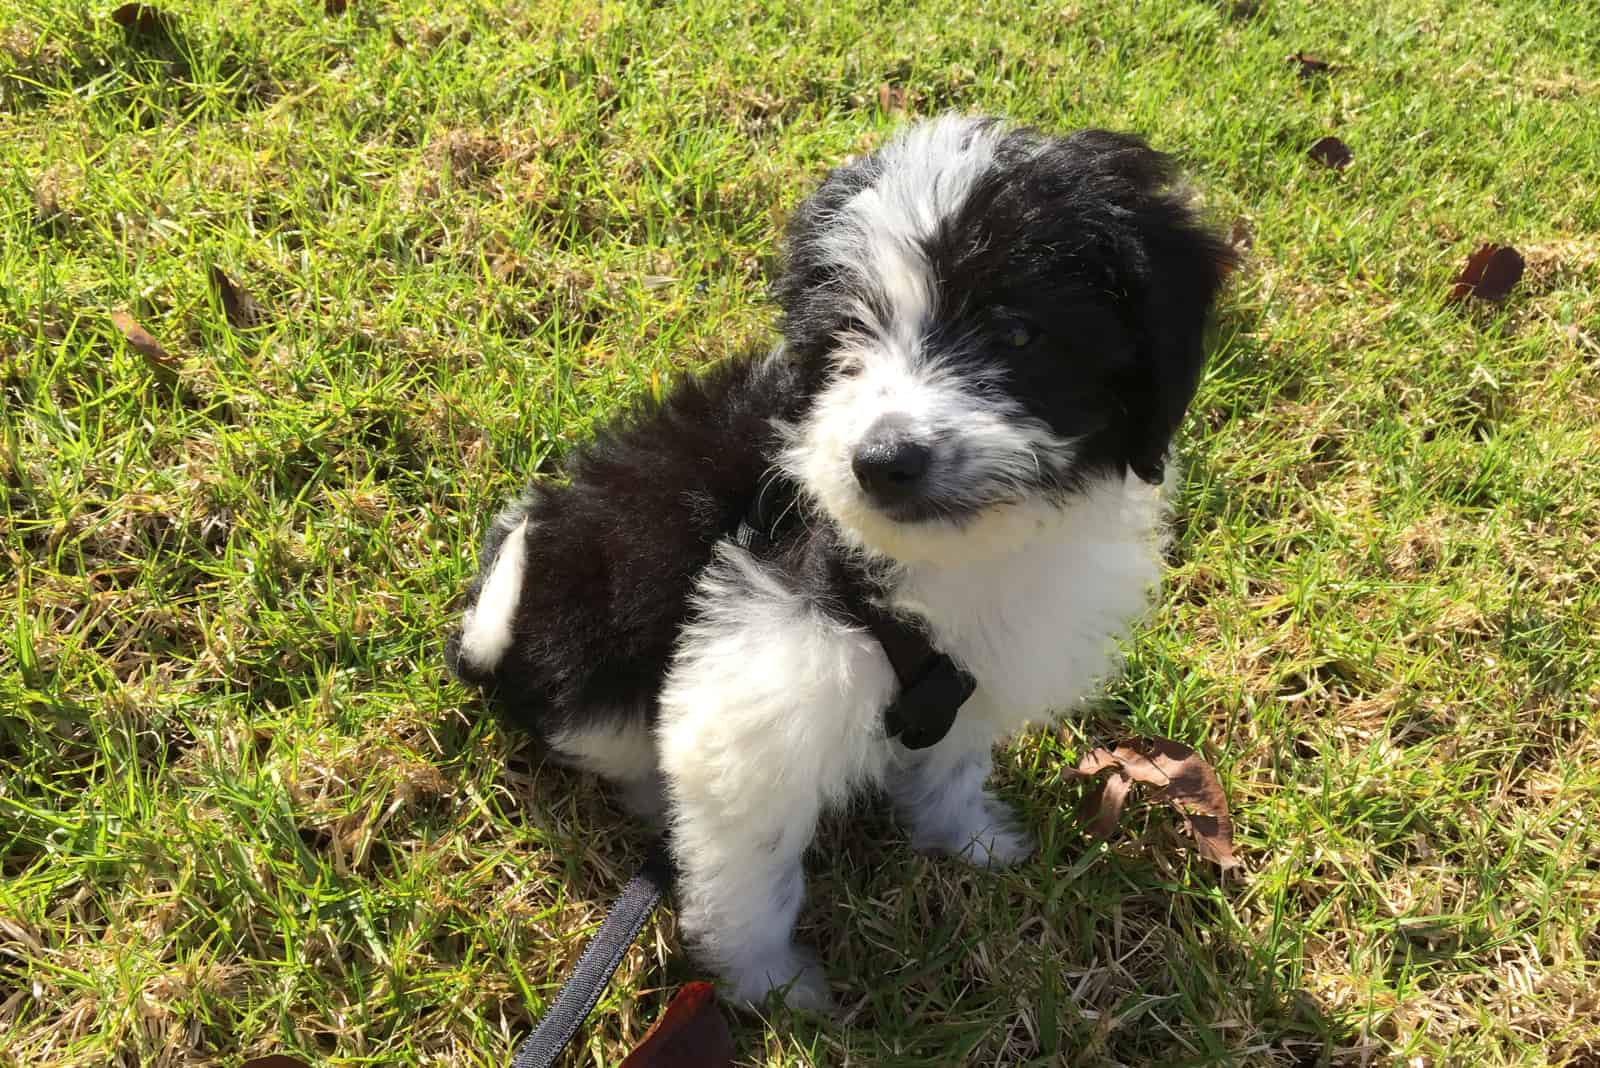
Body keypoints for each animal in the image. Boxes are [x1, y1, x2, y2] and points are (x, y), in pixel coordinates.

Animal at [444, 115, 1228, 1010]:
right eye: (847, 338)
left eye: (1017, 333)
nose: (883, 460)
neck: (940, 564)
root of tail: (498, 636)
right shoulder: (750, 688)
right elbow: (751, 861)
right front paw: (769, 984)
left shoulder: (969, 678)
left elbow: (951, 764)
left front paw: (967, 840)